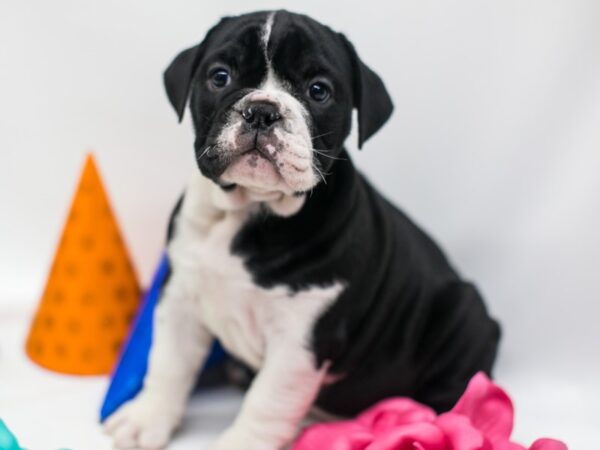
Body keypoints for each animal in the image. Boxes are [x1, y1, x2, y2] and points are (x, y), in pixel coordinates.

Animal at [104, 10, 502, 450]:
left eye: (318, 91)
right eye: (220, 76)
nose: (262, 111)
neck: (251, 211)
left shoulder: (300, 339)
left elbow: (267, 400)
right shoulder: (180, 297)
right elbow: (168, 362)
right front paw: (146, 417)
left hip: (463, 314)